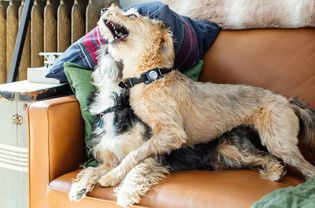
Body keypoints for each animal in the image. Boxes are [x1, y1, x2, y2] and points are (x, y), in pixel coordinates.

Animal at [96, 4, 315, 189]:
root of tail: (287, 101)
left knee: (308, 168)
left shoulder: (171, 133)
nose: (104, 9)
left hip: (279, 142)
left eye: (132, 15)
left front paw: (112, 175)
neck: (151, 77)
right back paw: (274, 173)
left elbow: (135, 153)